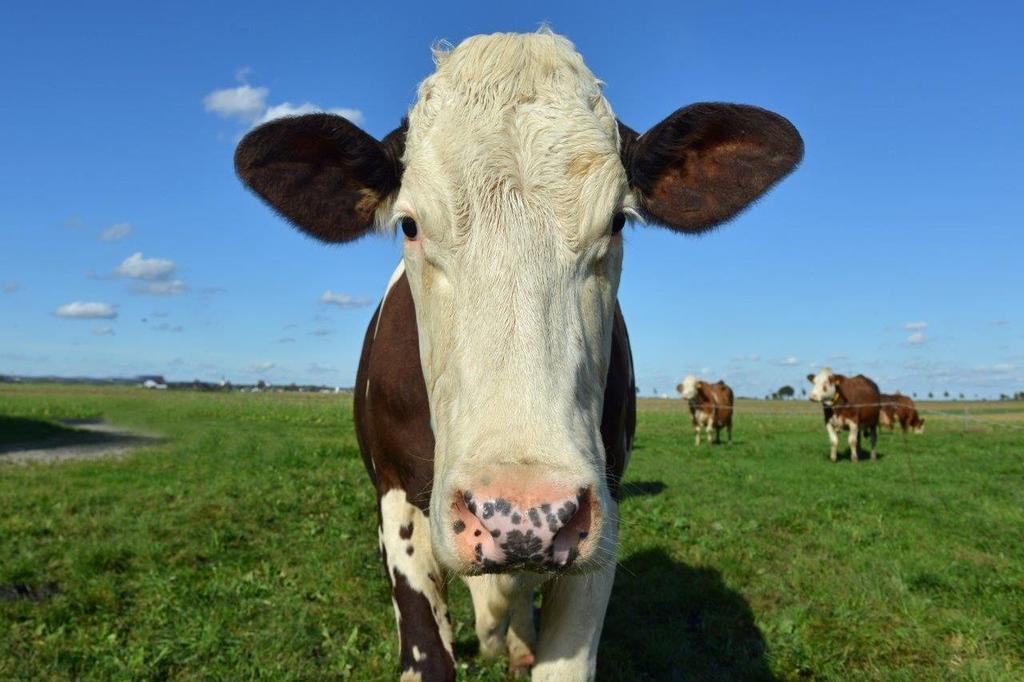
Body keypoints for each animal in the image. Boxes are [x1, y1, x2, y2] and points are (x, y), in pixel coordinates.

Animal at [235, 29, 802, 675]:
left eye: (617, 222)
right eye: (409, 225)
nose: (524, 514)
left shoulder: (602, 513)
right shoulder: (397, 500)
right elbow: (429, 651)